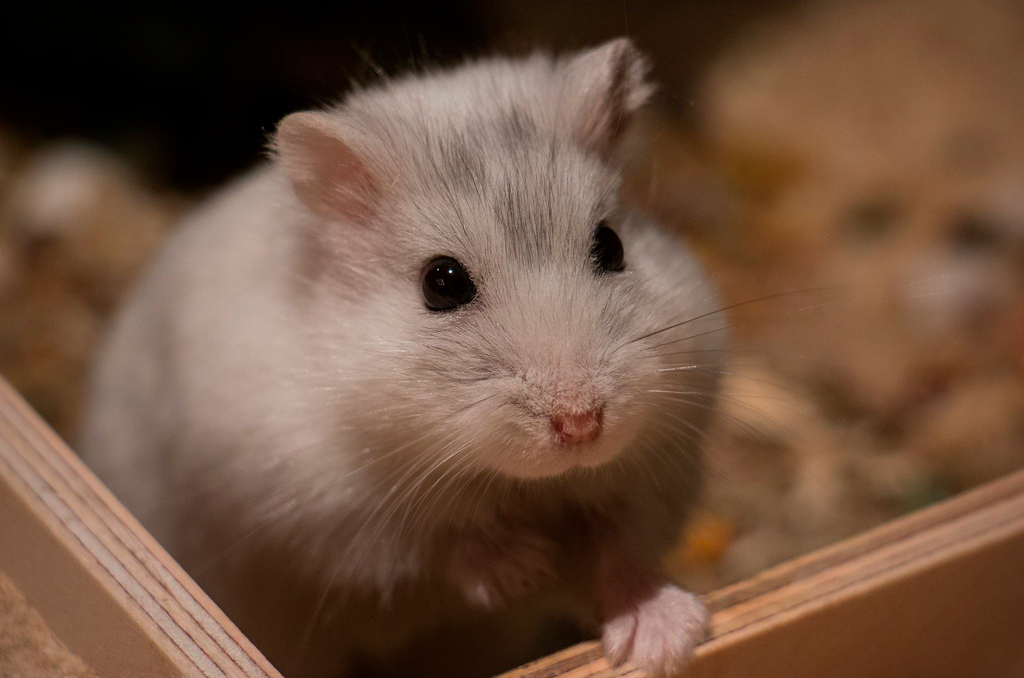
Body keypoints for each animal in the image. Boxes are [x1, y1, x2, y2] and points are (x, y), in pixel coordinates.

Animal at [79, 38, 723, 678]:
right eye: (442, 282)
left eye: (611, 245)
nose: (582, 425)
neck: (520, 483)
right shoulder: (330, 516)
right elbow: (439, 543)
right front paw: (523, 566)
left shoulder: (652, 472)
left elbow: (621, 552)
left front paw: (665, 643)